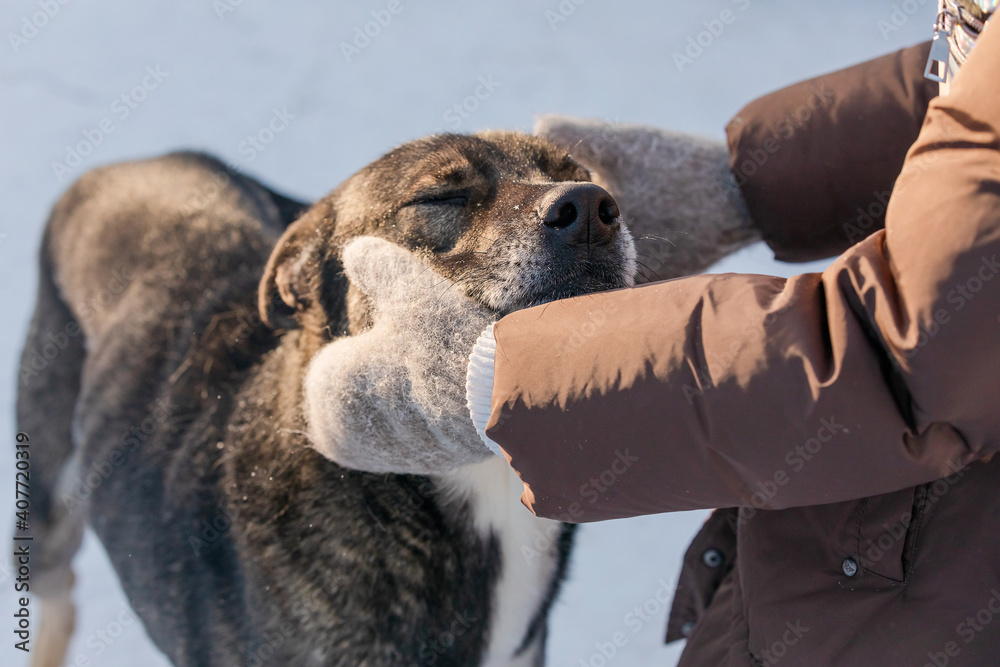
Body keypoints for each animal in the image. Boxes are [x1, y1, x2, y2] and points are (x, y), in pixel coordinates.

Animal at [19, 132, 640, 667]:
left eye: (584, 176)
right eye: (439, 197)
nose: (591, 207)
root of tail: (128, 163)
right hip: (46, 509)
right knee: (58, 593)